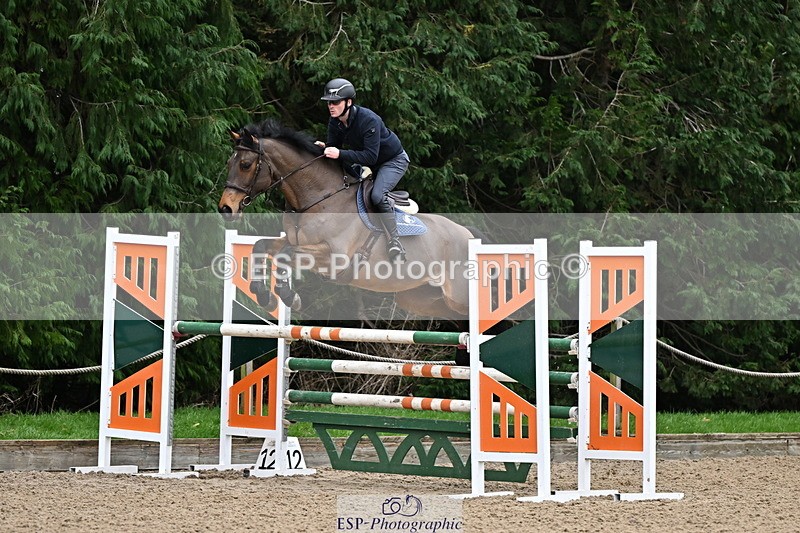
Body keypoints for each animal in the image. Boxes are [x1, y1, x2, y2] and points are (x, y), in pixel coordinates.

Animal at [218, 118, 476, 320]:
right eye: (229, 163)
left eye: (245, 165)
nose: (226, 208)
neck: (318, 198)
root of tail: (469, 235)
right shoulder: (294, 242)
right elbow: (261, 246)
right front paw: (265, 297)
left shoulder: (334, 257)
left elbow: (285, 254)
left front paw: (290, 297)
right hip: (423, 298)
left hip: (458, 297)